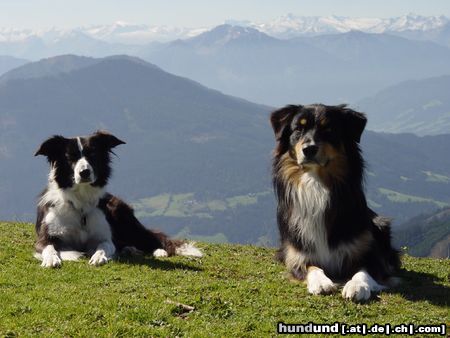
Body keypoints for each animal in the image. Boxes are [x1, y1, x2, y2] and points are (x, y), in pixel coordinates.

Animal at [34, 131, 202, 268]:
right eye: (70, 157)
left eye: (93, 154)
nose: (85, 172)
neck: (80, 203)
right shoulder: (45, 237)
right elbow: (49, 247)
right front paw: (51, 259)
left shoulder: (105, 236)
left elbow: (104, 246)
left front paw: (99, 256)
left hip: (122, 214)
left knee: (150, 238)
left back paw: (157, 251)